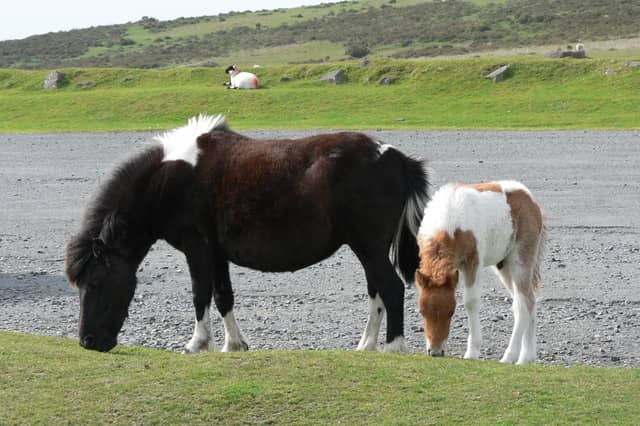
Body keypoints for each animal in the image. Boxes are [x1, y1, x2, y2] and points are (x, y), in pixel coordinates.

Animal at [65, 114, 429, 353]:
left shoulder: (197, 248)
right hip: (370, 249)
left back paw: (394, 347)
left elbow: (200, 294)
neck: (168, 179)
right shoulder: (216, 254)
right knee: (377, 292)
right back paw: (366, 345)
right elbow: (223, 296)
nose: (88, 342)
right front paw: (234, 344)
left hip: (368, 247)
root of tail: (395, 157)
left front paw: (197, 343)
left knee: (392, 289)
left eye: (94, 283)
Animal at [414, 181, 545, 364]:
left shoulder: (473, 262)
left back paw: (510, 356)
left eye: (451, 312)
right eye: (422, 311)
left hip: (520, 260)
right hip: (504, 267)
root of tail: (530, 200)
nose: (435, 352)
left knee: (523, 302)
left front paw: (472, 352)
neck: (450, 221)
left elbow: (471, 301)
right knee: (529, 300)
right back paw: (527, 356)